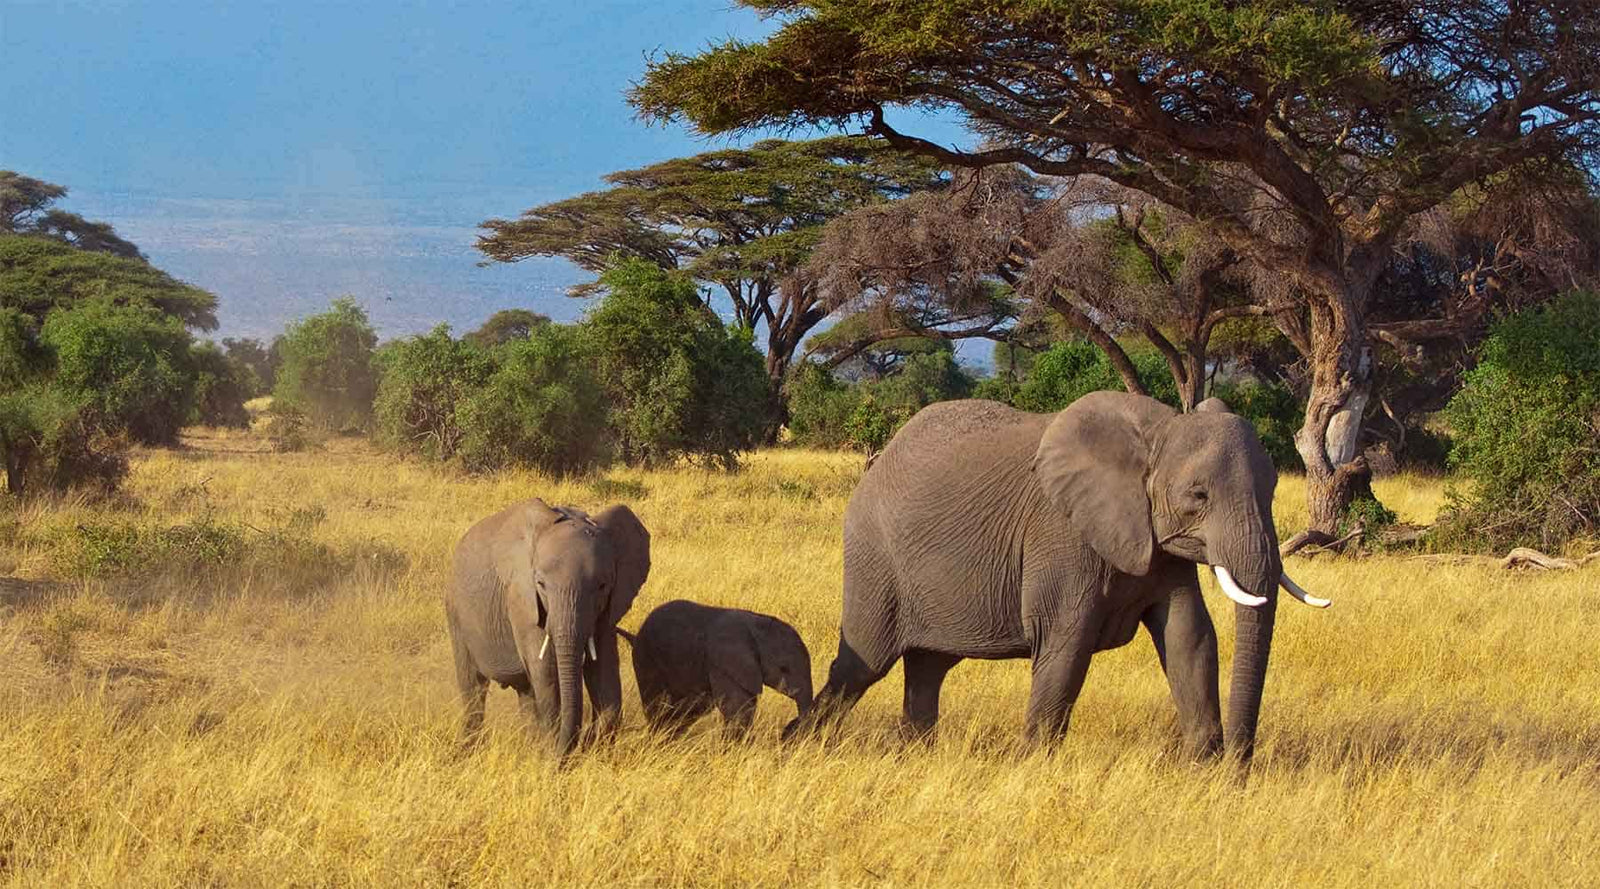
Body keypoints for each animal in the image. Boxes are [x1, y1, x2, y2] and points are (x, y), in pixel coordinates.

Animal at [445, 498, 650, 759]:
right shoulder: (522, 600)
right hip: (455, 611)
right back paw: (469, 751)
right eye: (541, 584)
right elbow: (546, 673)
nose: (579, 744)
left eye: (603, 585)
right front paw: (550, 754)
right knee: (473, 686)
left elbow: (604, 671)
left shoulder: (609, 607)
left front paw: (589, 749)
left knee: (525, 692)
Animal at [619, 600, 813, 739]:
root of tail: (635, 636)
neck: (757, 625)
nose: (790, 727)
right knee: (657, 704)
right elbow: (737, 708)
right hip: (646, 660)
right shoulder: (724, 663)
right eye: (784, 669)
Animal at [782, 392, 1328, 761]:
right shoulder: (1061, 535)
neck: (1157, 432)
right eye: (1198, 496)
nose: (1241, 762)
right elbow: (1066, 643)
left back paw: (914, 754)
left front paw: (1204, 769)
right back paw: (795, 743)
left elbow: (1188, 637)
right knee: (863, 664)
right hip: (875, 556)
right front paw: (1033, 765)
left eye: (1273, 490)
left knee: (928, 668)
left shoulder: (1157, 544)